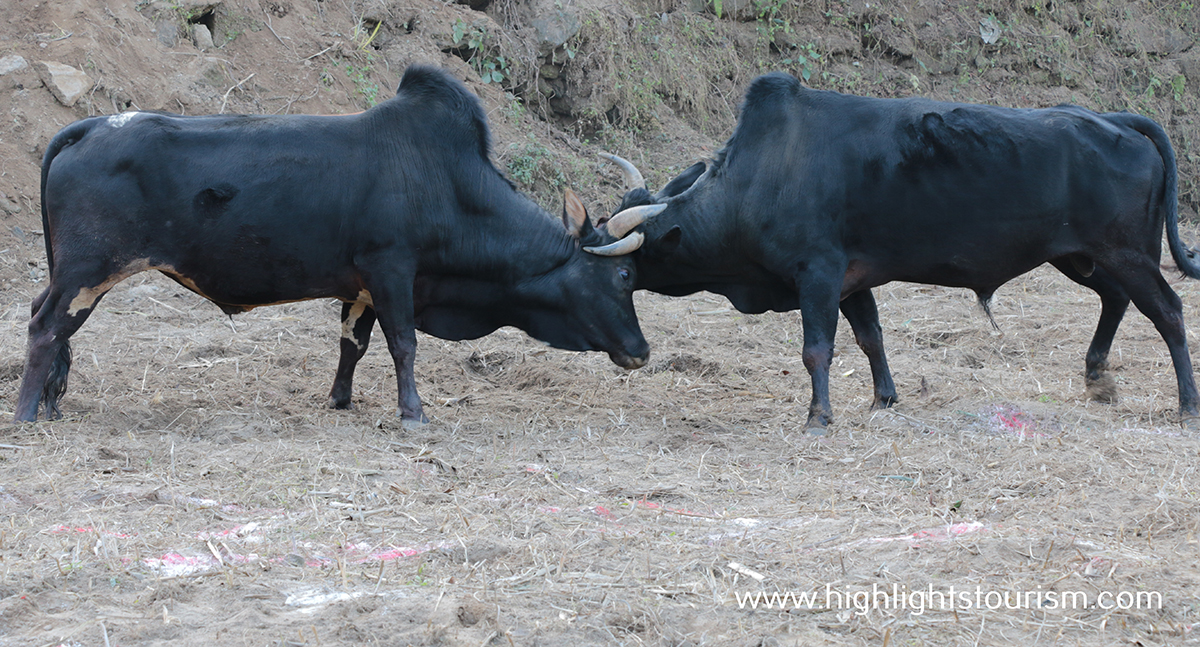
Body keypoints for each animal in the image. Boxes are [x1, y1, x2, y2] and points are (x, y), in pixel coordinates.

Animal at [14, 64, 652, 420]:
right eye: (623, 276)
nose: (642, 352)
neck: (448, 183)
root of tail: (92, 125)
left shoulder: (359, 286)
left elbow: (353, 345)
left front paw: (340, 401)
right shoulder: (393, 271)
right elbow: (403, 345)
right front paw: (413, 414)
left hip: (72, 272)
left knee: (44, 316)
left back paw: (51, 401)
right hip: (88, 271)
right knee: (45, 327)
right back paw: (26, 414)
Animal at [604, 72, 1195, 429]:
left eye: (629, 269)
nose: (590, 248)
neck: (763, 174)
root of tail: (1115, 118)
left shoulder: (817, 273)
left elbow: (817, 349)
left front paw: (819, 416)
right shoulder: (852, 281)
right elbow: (871, 339)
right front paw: (883, 397)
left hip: (1127, 254)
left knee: (1167, 311)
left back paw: (1187, 404)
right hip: (1081, 257)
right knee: (1117, 301)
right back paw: (1098, 378)